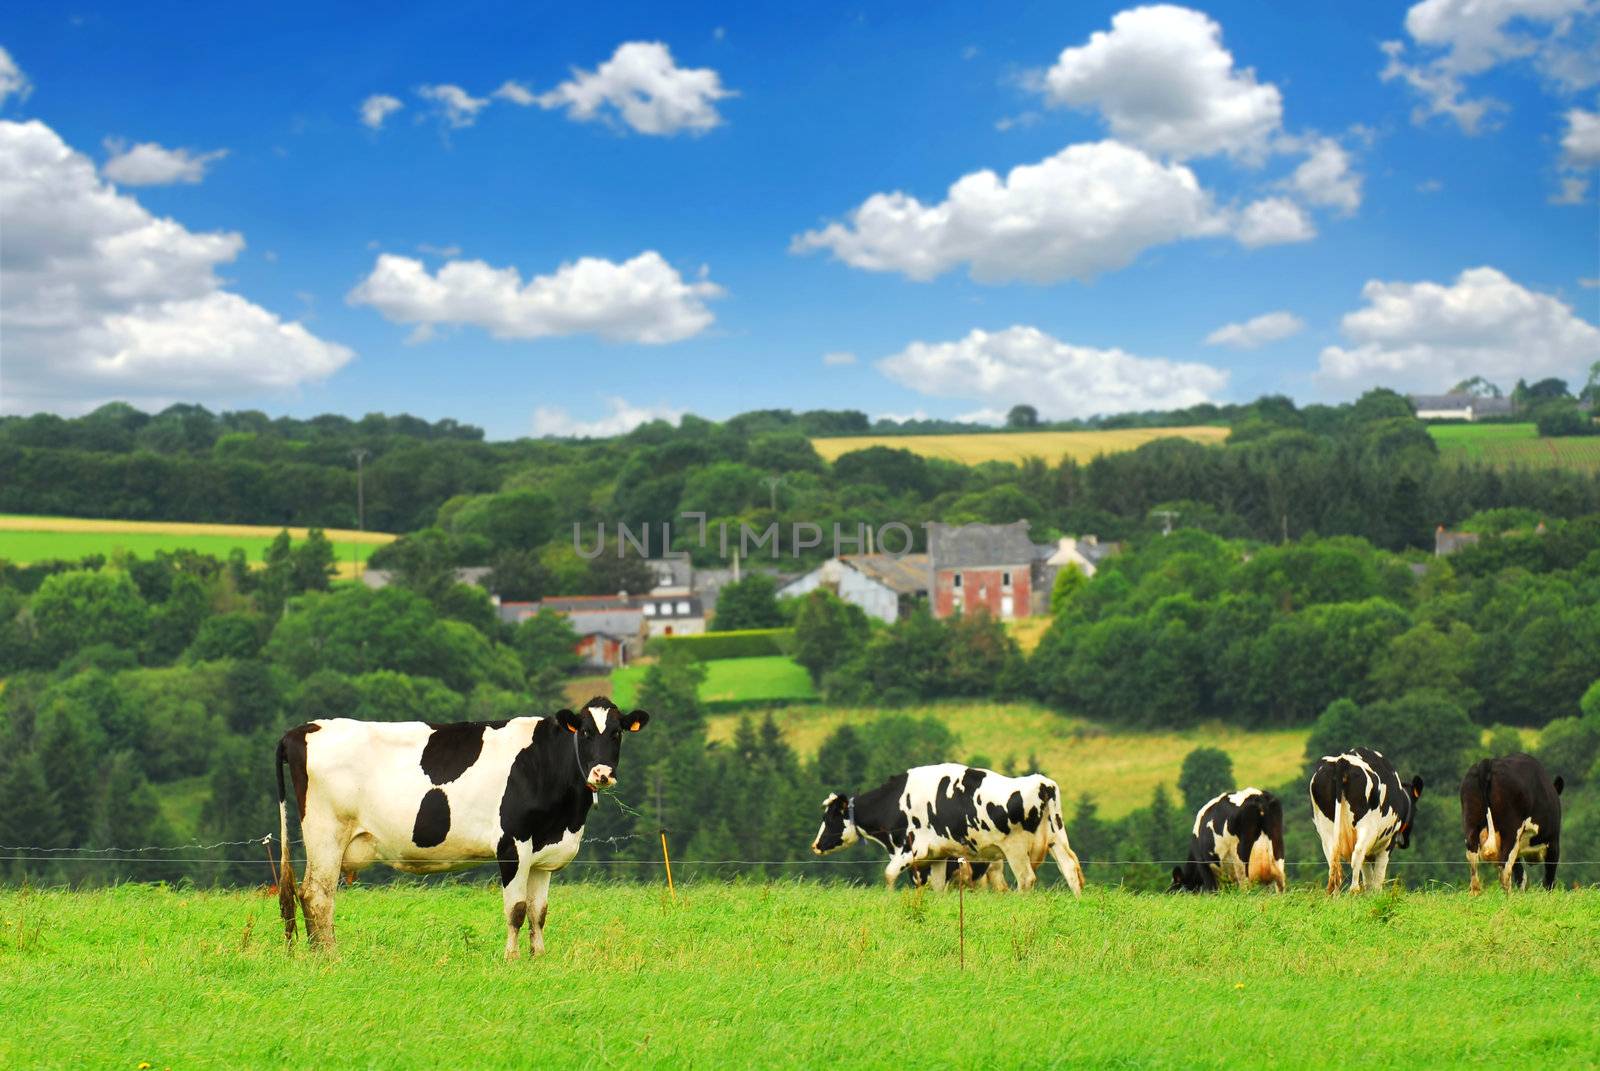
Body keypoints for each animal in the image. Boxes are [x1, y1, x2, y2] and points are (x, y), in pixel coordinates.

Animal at [278, 697, 646, 954]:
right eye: (585, 732)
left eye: (617, 733)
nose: (602, 773)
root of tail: (306, 728)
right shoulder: (512, 844)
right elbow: (516, 909)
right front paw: (511, 959)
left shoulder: (543, 854)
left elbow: (538, 912)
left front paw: (538, 958)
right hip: (326, 835)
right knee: (317, 895)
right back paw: (328, 958)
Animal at [812, 758, 1088, 896]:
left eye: (830, 818)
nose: (815, 845)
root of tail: (1041, 782)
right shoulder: (938, 855)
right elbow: (936, 886)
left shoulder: (910, 850)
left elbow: (889, 875)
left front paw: (888, 900)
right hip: (1056, 839)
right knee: (1070, 872)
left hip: (1015, 848)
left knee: (1026, 879)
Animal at [1312, 742, 1427, 896]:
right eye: (1416, 810)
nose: (1405, 843)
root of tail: (1342, 762)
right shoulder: (1388, 842)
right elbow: (1377, 876)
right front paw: (1376, 895)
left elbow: (1367, 875)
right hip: (1367, 827)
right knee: (1357, 854)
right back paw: (1354, 890)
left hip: (1325, 831)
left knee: (1333, 863)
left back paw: (1335, 895)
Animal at [1465, 752, 1561, 896]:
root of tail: (1489, 762)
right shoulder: (1553, 841)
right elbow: (1548, 877)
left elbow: (1520, 875)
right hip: (1511, 832)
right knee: (1505, 868)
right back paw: (1508, 897)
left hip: (1470, 825)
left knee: (1473, 864)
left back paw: (1476, 895)